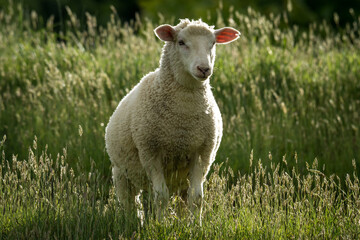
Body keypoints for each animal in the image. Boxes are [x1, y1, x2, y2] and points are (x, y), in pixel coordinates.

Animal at [105, 18, 239, 221]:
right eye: (181, 42)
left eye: (213, 43)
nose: (204, 69)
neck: (182, 118)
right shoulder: (150, 152)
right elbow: (161, 197)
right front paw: (160, 225)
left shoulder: (202, 153)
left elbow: (197, 198)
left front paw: (195, 226)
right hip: (121, 173)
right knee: (130, 204)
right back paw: (134, 222)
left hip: (180, 179)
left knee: (183, 200)